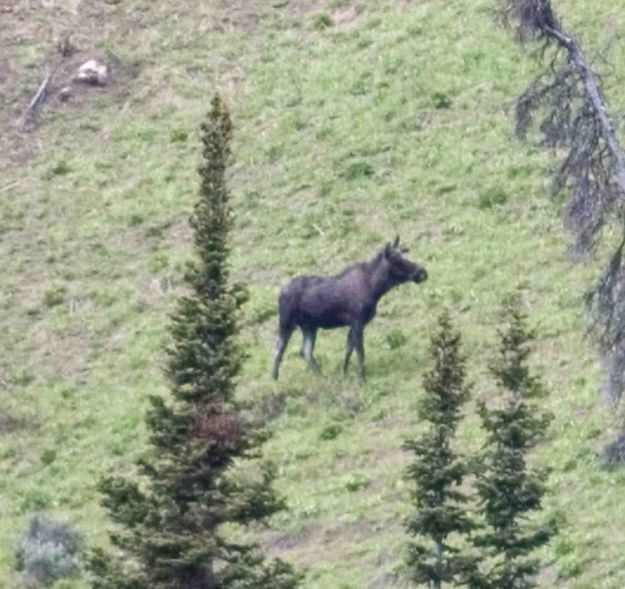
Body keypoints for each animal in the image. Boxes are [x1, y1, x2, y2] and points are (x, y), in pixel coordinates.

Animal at [270, 237, 426, 378]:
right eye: (397, 260)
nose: (422, 272)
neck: (376, 289)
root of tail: (280, 293)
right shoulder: (357, 321)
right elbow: (360, 352)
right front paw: (362, 378)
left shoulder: (356, 324)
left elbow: (348, 349)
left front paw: (344, 373)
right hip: (286, 322)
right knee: (278, 350)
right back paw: (275, 379)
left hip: (310, 326)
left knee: (305, 352)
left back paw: (322, 377)